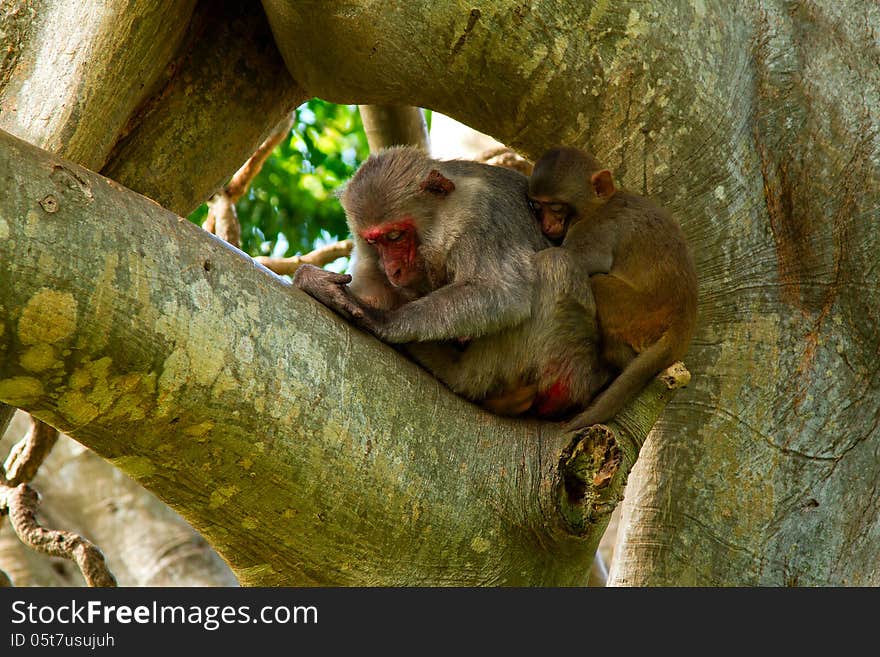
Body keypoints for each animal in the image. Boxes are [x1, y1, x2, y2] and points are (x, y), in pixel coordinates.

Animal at [292, 147, 608, 418]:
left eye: (395, 236)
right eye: (374, 241)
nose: (393, 269)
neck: (446, 218)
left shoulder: (482, 217)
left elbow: (503, 292)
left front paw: (383, 320)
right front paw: (313, 281)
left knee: (557, 265)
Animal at [524, 146, 696, 428]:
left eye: (556, 207)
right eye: (538, 206)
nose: (547, 225)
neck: (599, 204)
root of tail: (684, 321)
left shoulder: (596, 228)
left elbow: (581, 260)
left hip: (640, 313)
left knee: (598, 283)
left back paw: (618, 358)